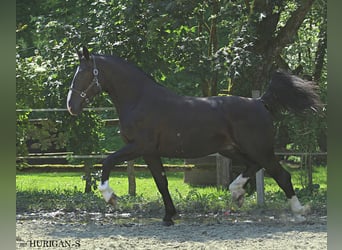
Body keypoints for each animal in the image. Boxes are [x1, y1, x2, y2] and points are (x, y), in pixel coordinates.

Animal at [67, 46, 320, 226]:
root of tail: (260, 102)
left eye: (85, 73)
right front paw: (169, 216)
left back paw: (300, 212)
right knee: (254, 166)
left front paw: (110, 197)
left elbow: (107, 161)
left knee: (281, 175)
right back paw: (237, 193)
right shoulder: (150, 153)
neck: (139, 100)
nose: (71, 106)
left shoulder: (138, 147)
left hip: (259, 149)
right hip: (233, 149)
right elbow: (161, 182)